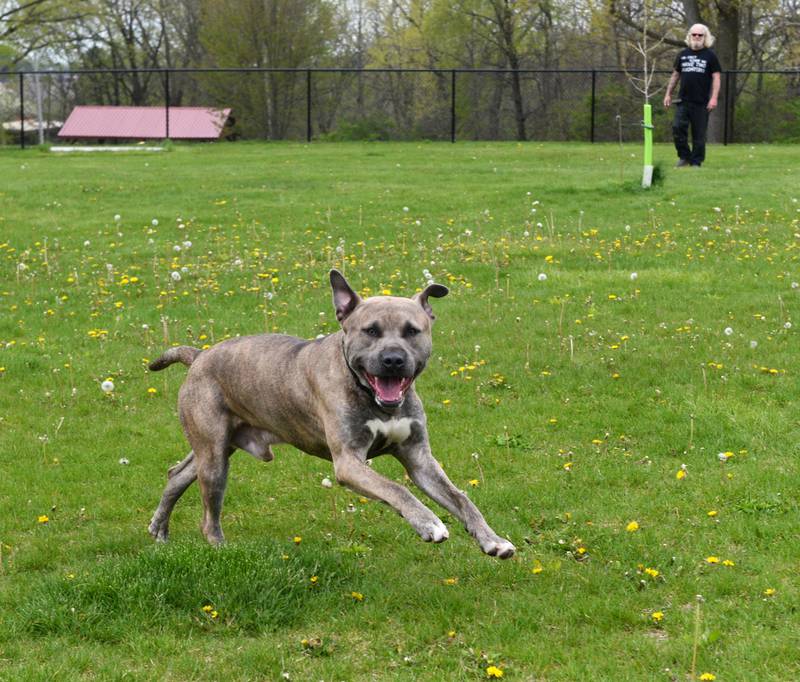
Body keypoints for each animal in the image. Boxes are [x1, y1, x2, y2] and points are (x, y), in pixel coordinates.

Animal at [147, 270, 516, 556]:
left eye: (413, 330)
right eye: (371, 330)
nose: (393, 359)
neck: (372, 398)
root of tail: (199, 356)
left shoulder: (419, 459)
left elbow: (461, 499)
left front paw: (494, 540)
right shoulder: (349, 462)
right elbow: (395, 489)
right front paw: (428, 522)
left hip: (217, 448)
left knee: (177, 474)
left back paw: (159, 529)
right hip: (214, 457)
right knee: (208, 518)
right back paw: (220, 548)